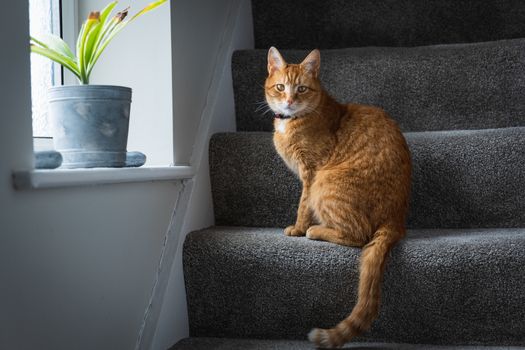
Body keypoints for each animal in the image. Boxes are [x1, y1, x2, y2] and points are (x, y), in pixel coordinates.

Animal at [264, 45, 412, 348]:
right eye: (281, 87)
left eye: (302, 89)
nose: (289, 102)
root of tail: (397, 216)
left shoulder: (311, 173)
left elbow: (303, 206)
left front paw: (299, 228)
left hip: (326, 182)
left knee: (360, 235)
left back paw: (316, 230)